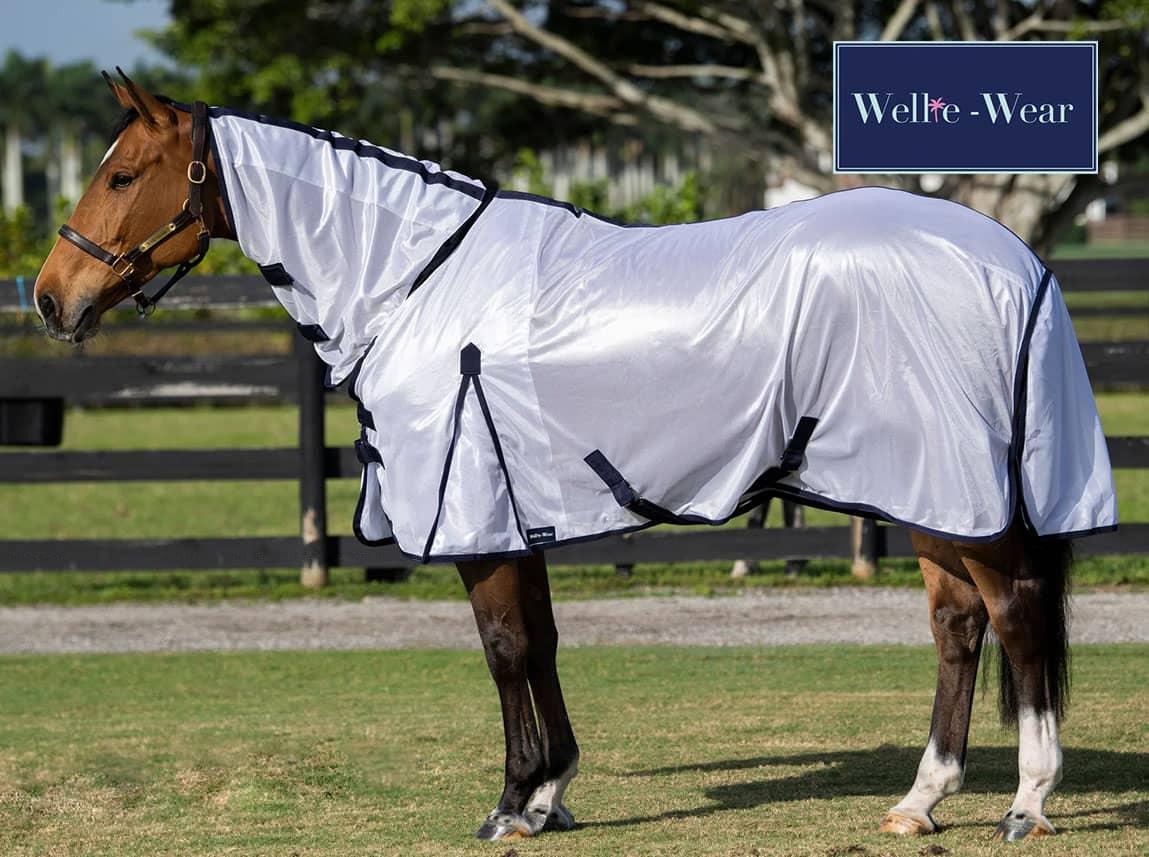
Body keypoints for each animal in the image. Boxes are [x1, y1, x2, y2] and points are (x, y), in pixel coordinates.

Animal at [33, 70, 1116, 843]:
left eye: (121, 175)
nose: (48, 297)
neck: (416, 278)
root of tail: (1013, 259)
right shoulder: (521, 510)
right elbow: (541, 642)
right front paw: (552, 788)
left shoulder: (477, 516)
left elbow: (506, 647)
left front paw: (514, 800)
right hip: (930, 496)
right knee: (957, 627)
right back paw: (920, 801)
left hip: (957, 499)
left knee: (1016, 616)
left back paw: (1027, 801)